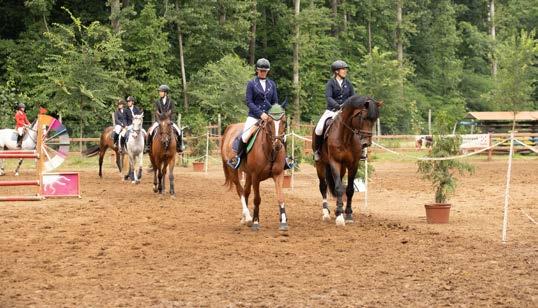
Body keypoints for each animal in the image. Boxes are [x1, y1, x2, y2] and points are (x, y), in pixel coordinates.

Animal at [310, 95, 382, 226]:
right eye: (363, 117)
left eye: (374, 119)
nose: (366, 143)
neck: (346, 136)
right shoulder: (334, 162)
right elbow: (339, 188)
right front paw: (339, 216)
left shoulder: (353, 164)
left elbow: (349, 189)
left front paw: (348, 214)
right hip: (320, 164)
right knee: (323, 186)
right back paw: (326, 213)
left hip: (342, 167)